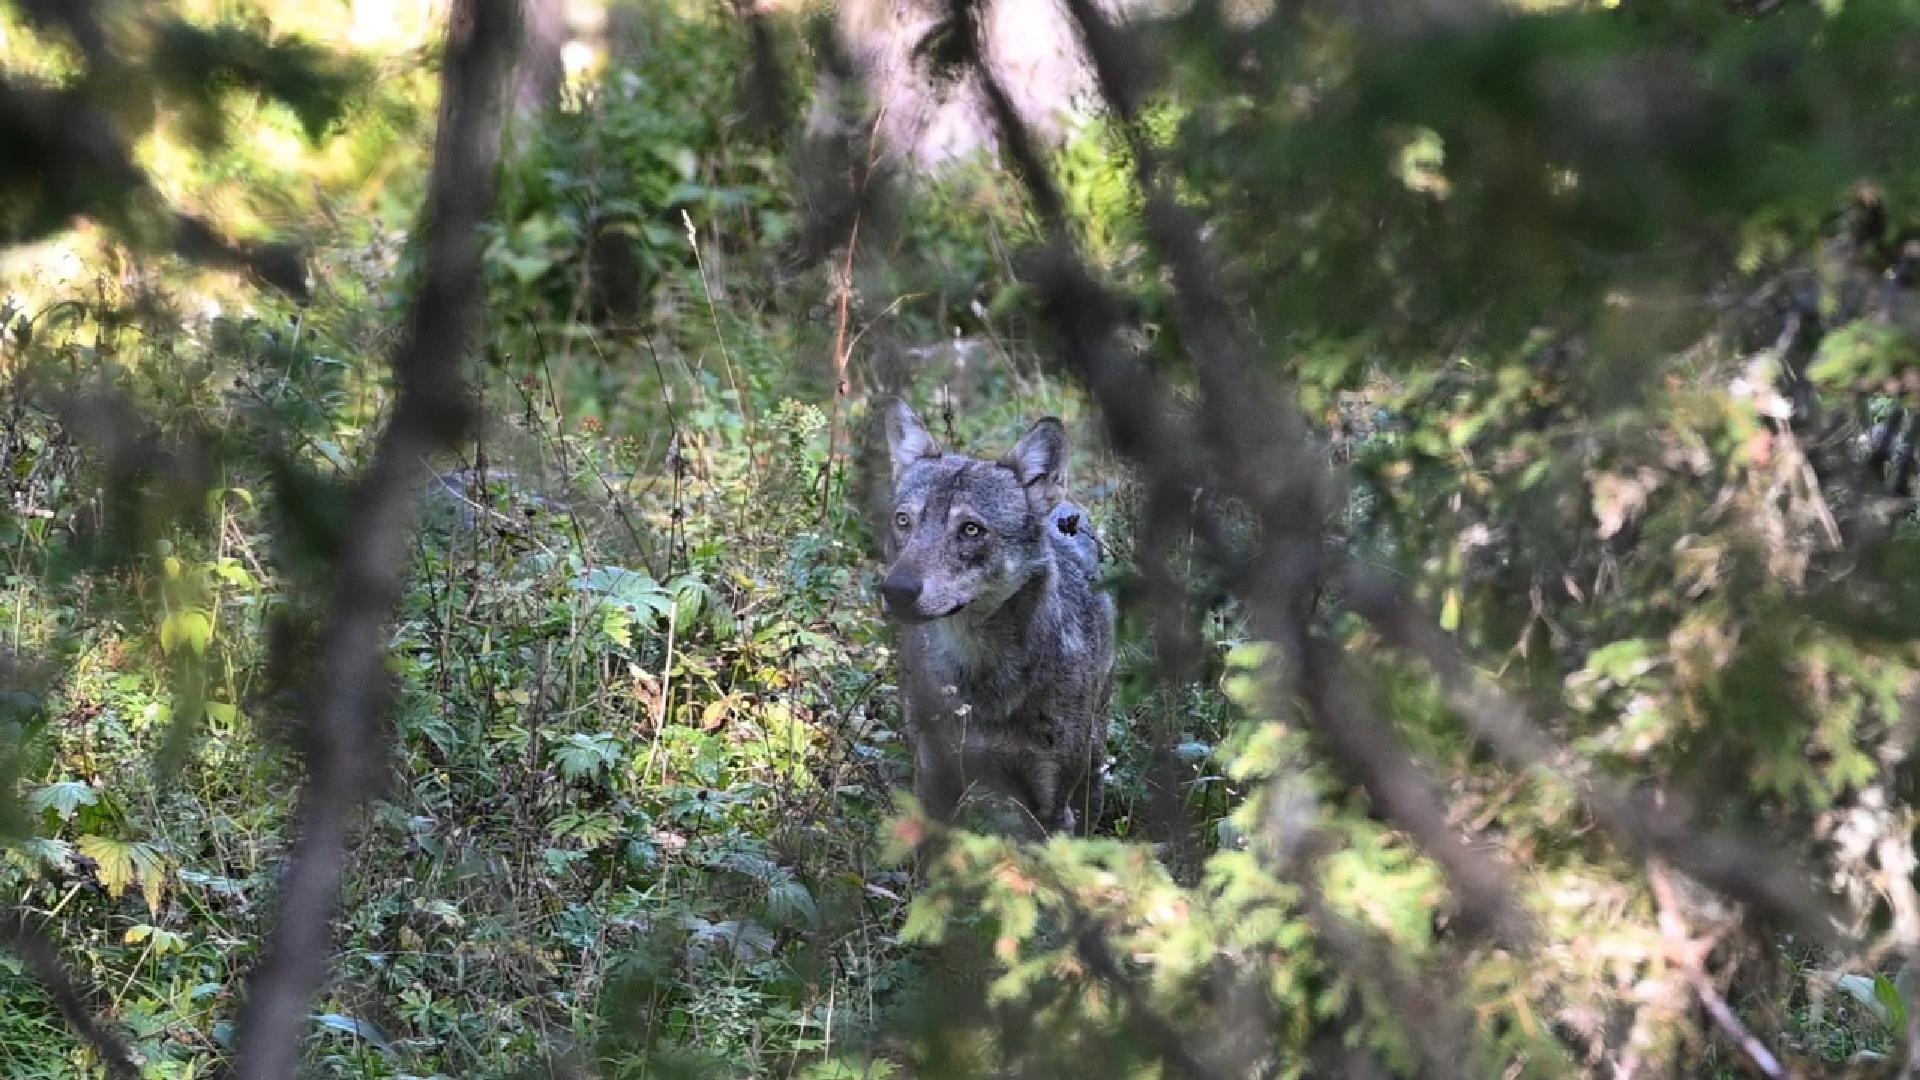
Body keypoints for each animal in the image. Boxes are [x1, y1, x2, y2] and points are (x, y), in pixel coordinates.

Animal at [878, 400, 1115, 836]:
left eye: (971, 530)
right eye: (904, 521)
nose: (897, 591)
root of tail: (1067, 509)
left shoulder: (1051, 809)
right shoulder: (934, 787)